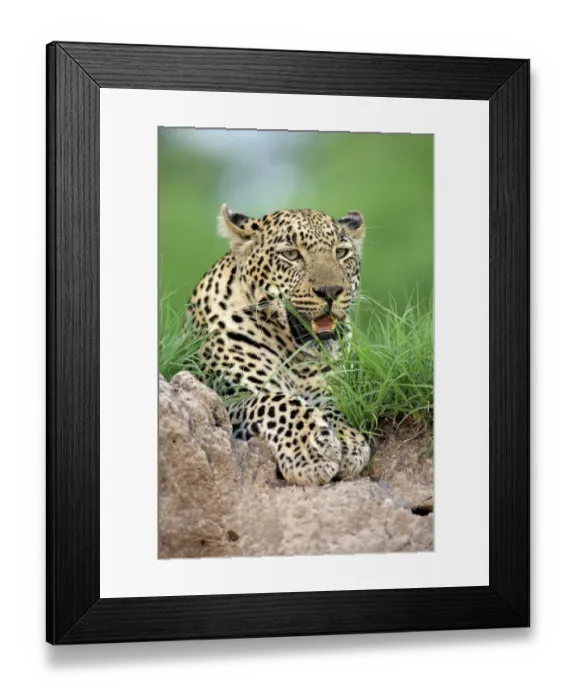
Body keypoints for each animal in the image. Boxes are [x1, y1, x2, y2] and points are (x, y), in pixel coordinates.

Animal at [188, 204, 371, 486]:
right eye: (291, 254)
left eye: (340, 253)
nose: (331, 291)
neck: (299, 360)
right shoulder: (227, 398)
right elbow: (278, 402)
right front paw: (310, 451)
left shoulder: (330, 391)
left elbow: (336, 407)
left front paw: (348, 441)